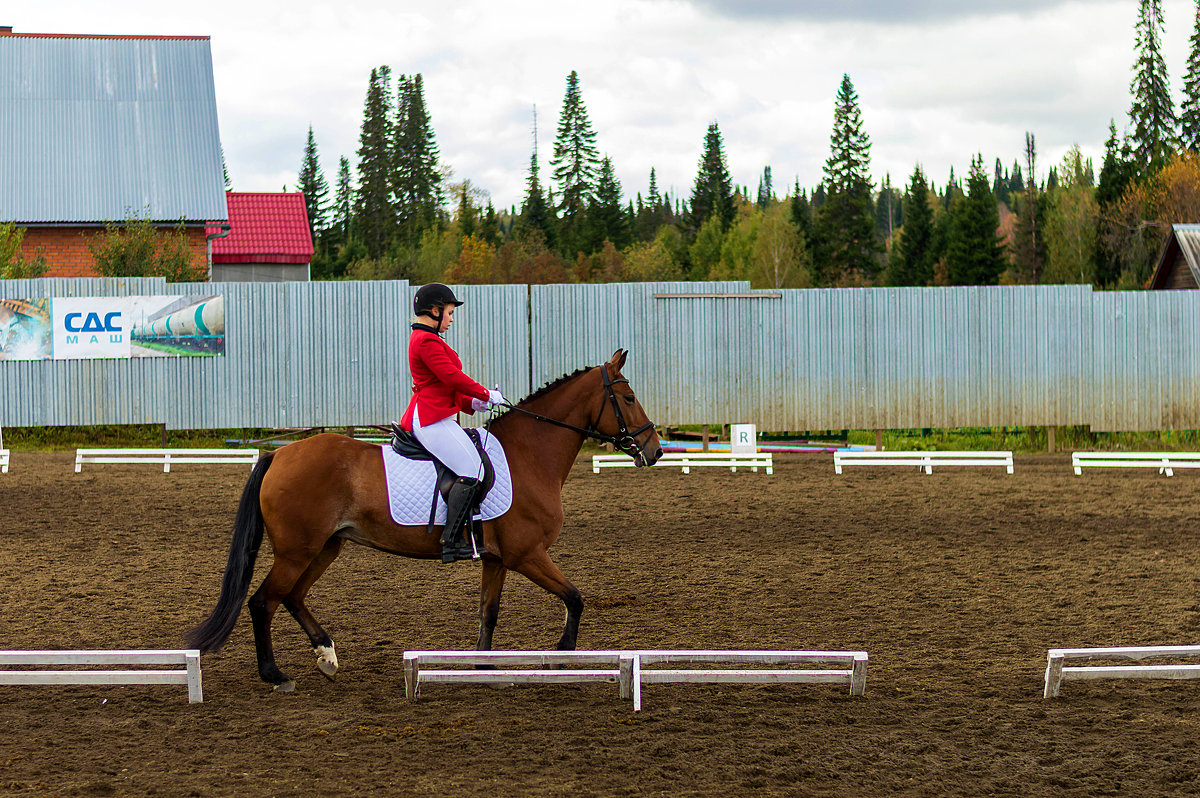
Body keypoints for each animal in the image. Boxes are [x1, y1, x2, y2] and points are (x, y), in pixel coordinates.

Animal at [184, 348, 667, 691]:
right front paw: (563, 656)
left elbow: (488, 612)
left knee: (292, 597)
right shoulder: (527, 554)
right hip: (297, 550)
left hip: (325, 547)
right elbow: (575, 598)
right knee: (263, 601)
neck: (529, 455)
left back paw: (327, 657)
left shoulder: (497, 559)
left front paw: (482, 667)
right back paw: (275, 675)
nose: (656, 450)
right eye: (628, 398)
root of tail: (279, 454)